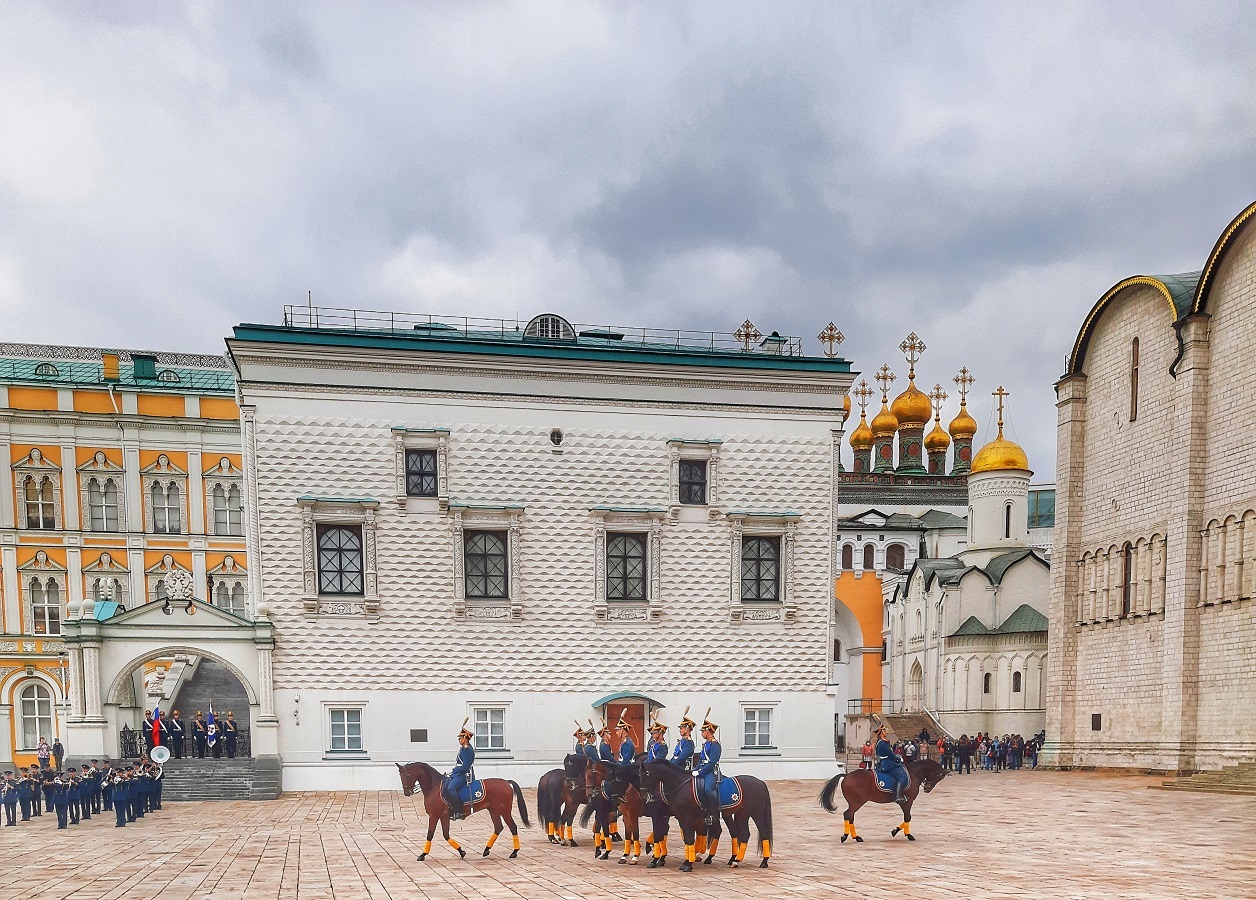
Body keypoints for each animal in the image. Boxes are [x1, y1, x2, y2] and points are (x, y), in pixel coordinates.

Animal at [394, 763, 527, 858]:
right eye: (400, 776)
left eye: (407, 774)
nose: (407, 792)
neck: (434, 787)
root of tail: (506, 782)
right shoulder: (443, 816)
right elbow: (446, 835)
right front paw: (461, 851)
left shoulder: (434, 816)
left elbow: (430, 834)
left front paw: (423, 854)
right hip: (493, 810)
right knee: (498, 827)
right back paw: (486, 850)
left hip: (504, 811)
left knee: (513, 827)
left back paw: (514, 852)